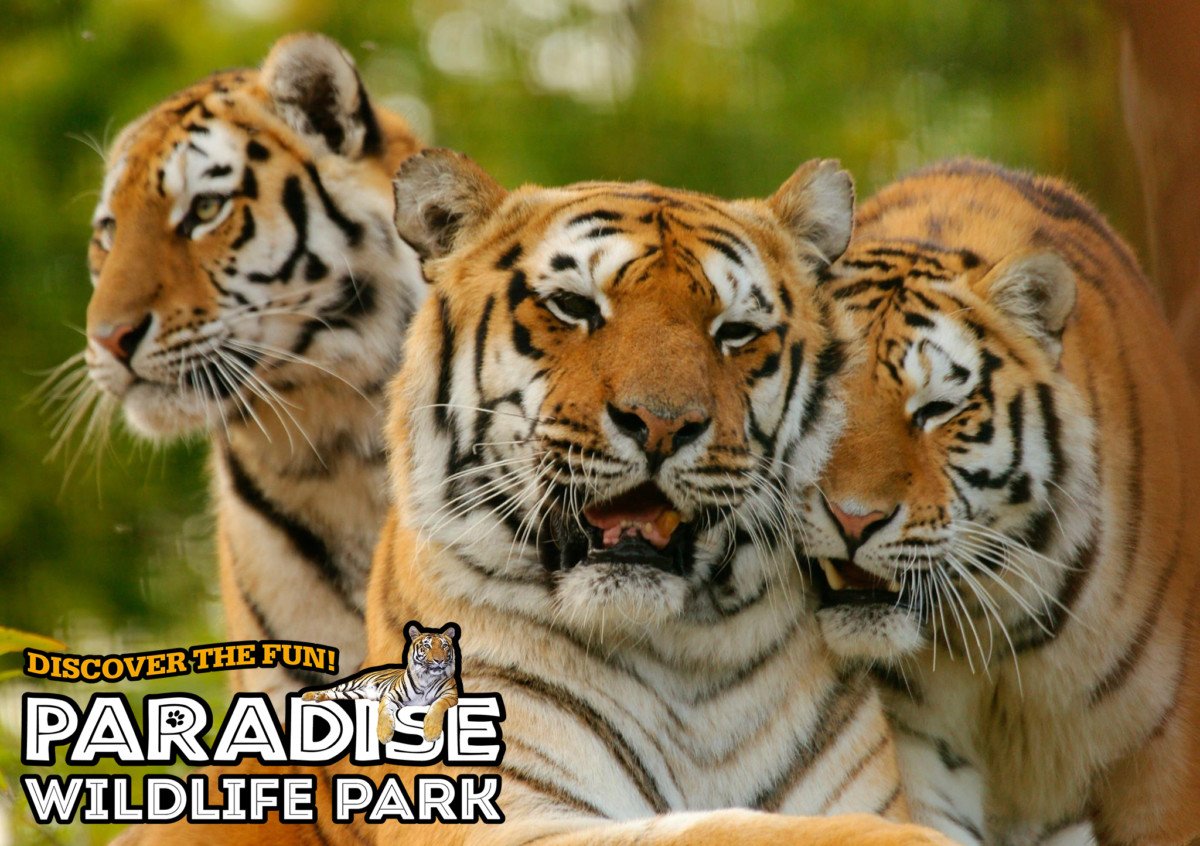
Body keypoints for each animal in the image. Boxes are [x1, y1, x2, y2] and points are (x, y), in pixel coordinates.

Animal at [302, 622, 460, 742]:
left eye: (444, 646)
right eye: (427, 646)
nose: (439, 660)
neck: (427, 677)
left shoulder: (450, 695)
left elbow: (437, 706)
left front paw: (431, 732)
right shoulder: (391, 696)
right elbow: (384, 712)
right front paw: (384, 734)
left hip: (355, 694)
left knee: (334, 694)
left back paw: (319, 698)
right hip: (350, 684)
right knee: (332, 688)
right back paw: (309, 695)